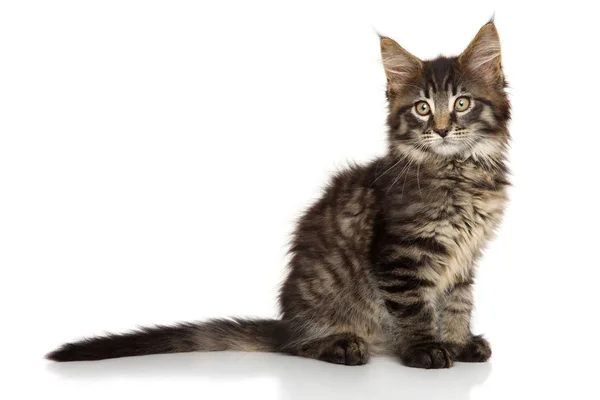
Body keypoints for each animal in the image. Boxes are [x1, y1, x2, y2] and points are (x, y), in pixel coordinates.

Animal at [47, 21, 508, 368]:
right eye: (422, 108)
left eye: (462, 103)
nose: (443, 129)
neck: (461, 172)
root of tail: (286, 321)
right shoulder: (401, 254)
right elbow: (415, 307)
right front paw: (425, 349)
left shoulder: (465, 258)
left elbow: (457, 303)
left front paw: (457, 342)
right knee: (295, 346)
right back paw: (340, 344)